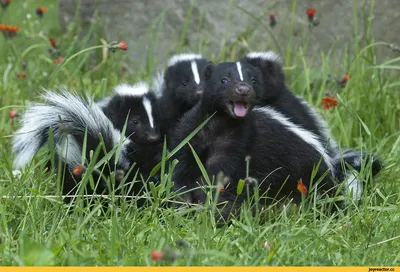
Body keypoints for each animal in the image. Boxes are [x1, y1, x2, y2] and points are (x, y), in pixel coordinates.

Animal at [171, 60, 334, 220]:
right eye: (224, 80)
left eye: (253, 81)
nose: (243, 89)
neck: (218, 122)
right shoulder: (190, 131)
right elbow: (181, 166)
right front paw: (182, 201)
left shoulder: (236, 141)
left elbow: (217, 174)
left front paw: (207, 203)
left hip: (300, 171)